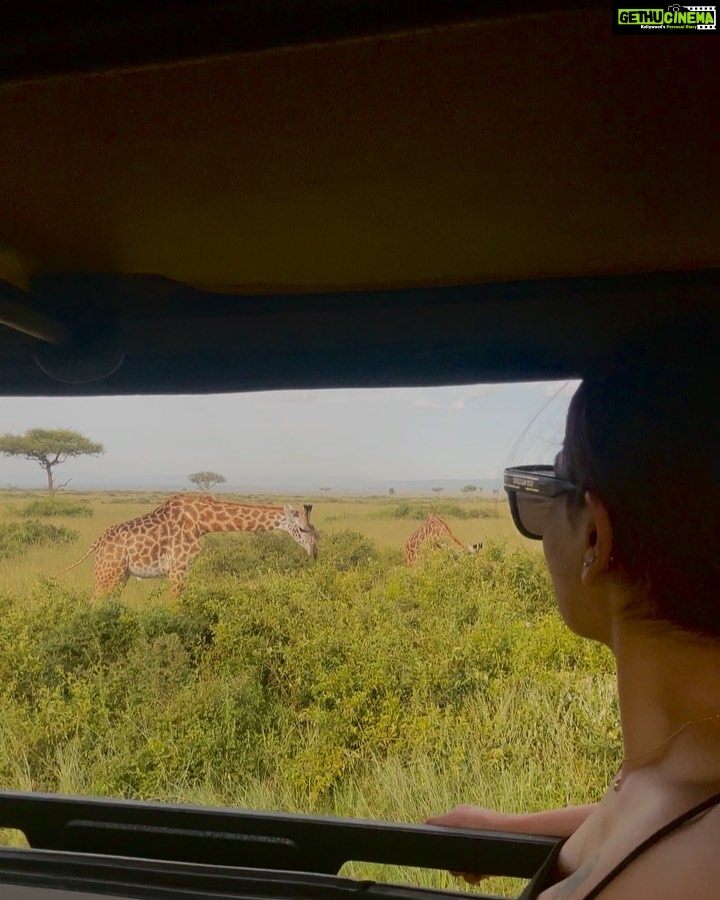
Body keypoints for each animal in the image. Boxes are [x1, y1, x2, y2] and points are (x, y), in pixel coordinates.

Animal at [54, 496, 316, 600]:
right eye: (302, 529)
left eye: (314, 529)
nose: (315, 553)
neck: (202, 521)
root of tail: (98, 542)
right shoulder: (178, 569)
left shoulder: (184, 570)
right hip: (107, 573)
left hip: (120, 576)